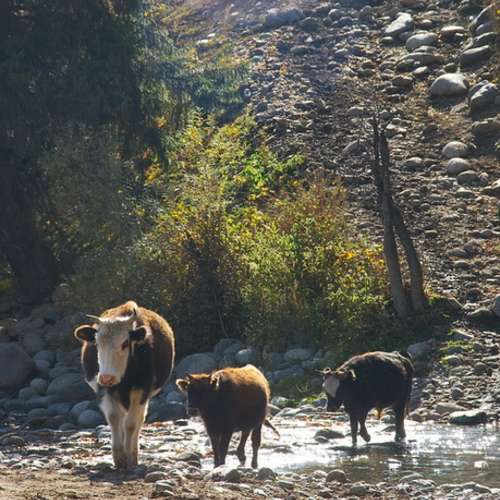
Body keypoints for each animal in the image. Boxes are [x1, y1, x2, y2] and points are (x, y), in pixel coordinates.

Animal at [74, 300, 175, 469]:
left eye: (125, 343)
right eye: (97, 343)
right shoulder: (104, 390)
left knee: (138, 420)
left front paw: (129, 457)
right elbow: (114, 418)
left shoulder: (141, 390)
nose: (107, 377)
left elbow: (131, 424)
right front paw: (119, 457)